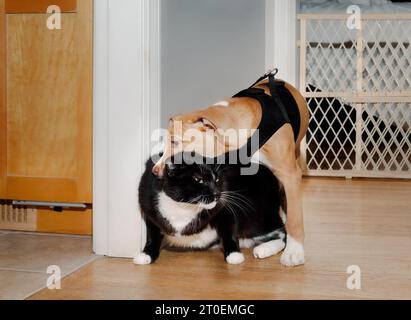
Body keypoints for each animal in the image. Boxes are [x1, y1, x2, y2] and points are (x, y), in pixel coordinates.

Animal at [135, 153, 286, 264]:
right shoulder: (149, 208)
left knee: (283, 233)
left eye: (217, 179)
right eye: (199, 179)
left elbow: (229, 231)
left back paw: (264, 249)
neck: (184, 207)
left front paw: (234, 255)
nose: (217, 194)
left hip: (258, 217)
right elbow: (152, 234)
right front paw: (146, 254)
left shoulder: (226, 209)